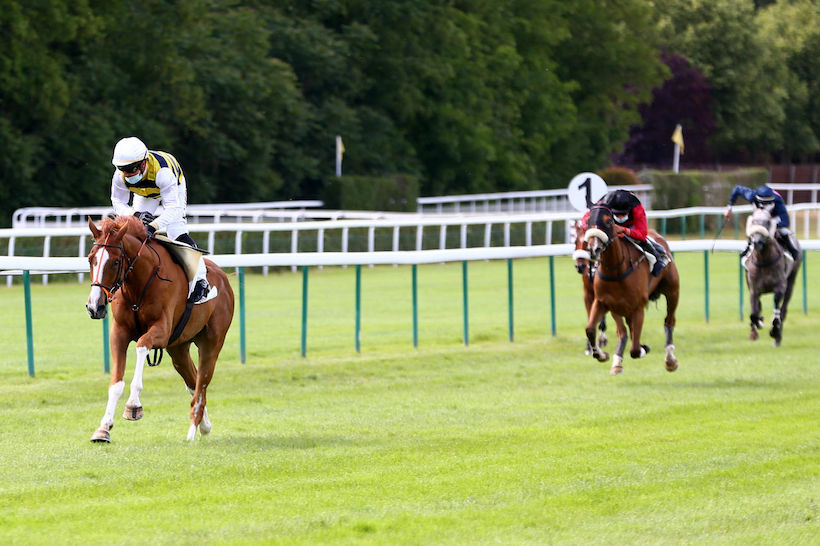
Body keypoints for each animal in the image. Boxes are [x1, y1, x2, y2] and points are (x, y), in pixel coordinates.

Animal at [85, 215, 234, 442]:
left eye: (116, 262)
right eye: (90, 259)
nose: (95, 306)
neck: (139, 285)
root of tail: (224, 279)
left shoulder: (161, 332)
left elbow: (141, 346)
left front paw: (133, 405)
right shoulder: (119, 333)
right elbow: (116, 383)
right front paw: (103, 428)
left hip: (212, 343)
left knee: (201, 384)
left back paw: (193, 429)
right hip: (178, 349)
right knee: (193, 382)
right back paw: (205, 425)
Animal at [583, 205, 680, 375]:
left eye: (608, 221)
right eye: (589, 221)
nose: (594, 249)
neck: (616, 270)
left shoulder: (638, 307)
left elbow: (634, 349)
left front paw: (643, 349)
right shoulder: (605, 302)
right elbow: (591, 329)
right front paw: (602, 355)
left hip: (672, 291)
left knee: (669, 321)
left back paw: (670, 360)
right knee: (624, 331)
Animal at [743, 207, 801, 346]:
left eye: (767, 222)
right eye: (753, 221)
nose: (757, 242)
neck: (764, 260)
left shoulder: (780, 286)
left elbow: (777, 312)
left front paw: (774, 331)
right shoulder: (754, 289)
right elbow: (754, 312)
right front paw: (758, 324)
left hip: (791, 281)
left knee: (783, 310)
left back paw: (778, 337)